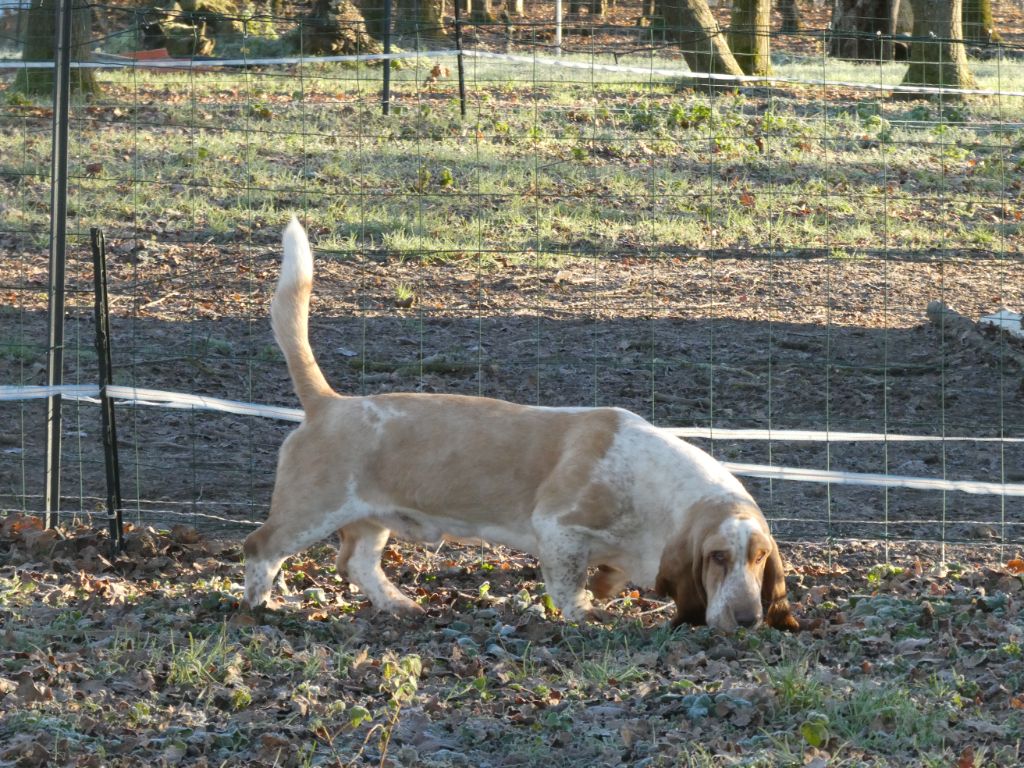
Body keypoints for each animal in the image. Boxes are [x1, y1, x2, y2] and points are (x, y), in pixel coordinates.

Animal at [245, 219, 798, 634]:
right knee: (261, 548)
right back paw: (258, 605)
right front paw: (584, 616)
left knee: (356, 564)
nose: (747, 620)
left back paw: (400, 605)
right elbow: (569, 586)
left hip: (370, 520)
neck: (661, 496)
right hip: (311, 510)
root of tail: (329, 404)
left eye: (759, 559)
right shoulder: (559, 529)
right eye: (718, 557)